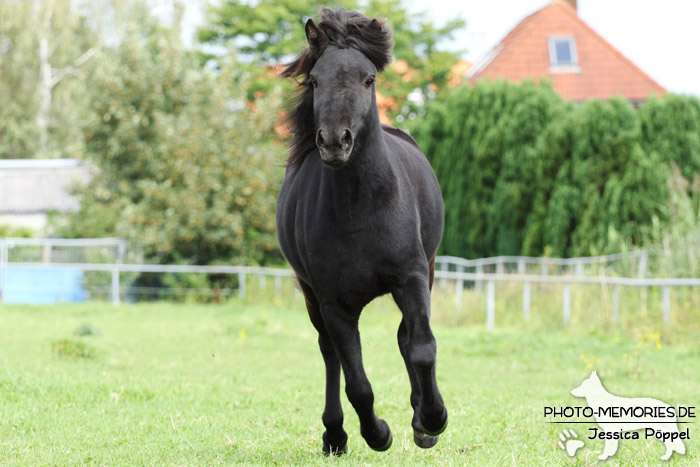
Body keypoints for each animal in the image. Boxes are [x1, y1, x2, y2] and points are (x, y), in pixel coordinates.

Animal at [276, 7, 446, 456]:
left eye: (368, 79)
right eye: (315, 80)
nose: (335, 141)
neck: (361, 209)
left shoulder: (412, 276)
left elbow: (421, 348)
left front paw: (431, 420)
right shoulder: (333, 303)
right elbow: (357, 384)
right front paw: (378, 433)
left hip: (428, 271)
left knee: (406, 338)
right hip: (311, 295)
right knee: (329, 354)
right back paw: (334, 435)